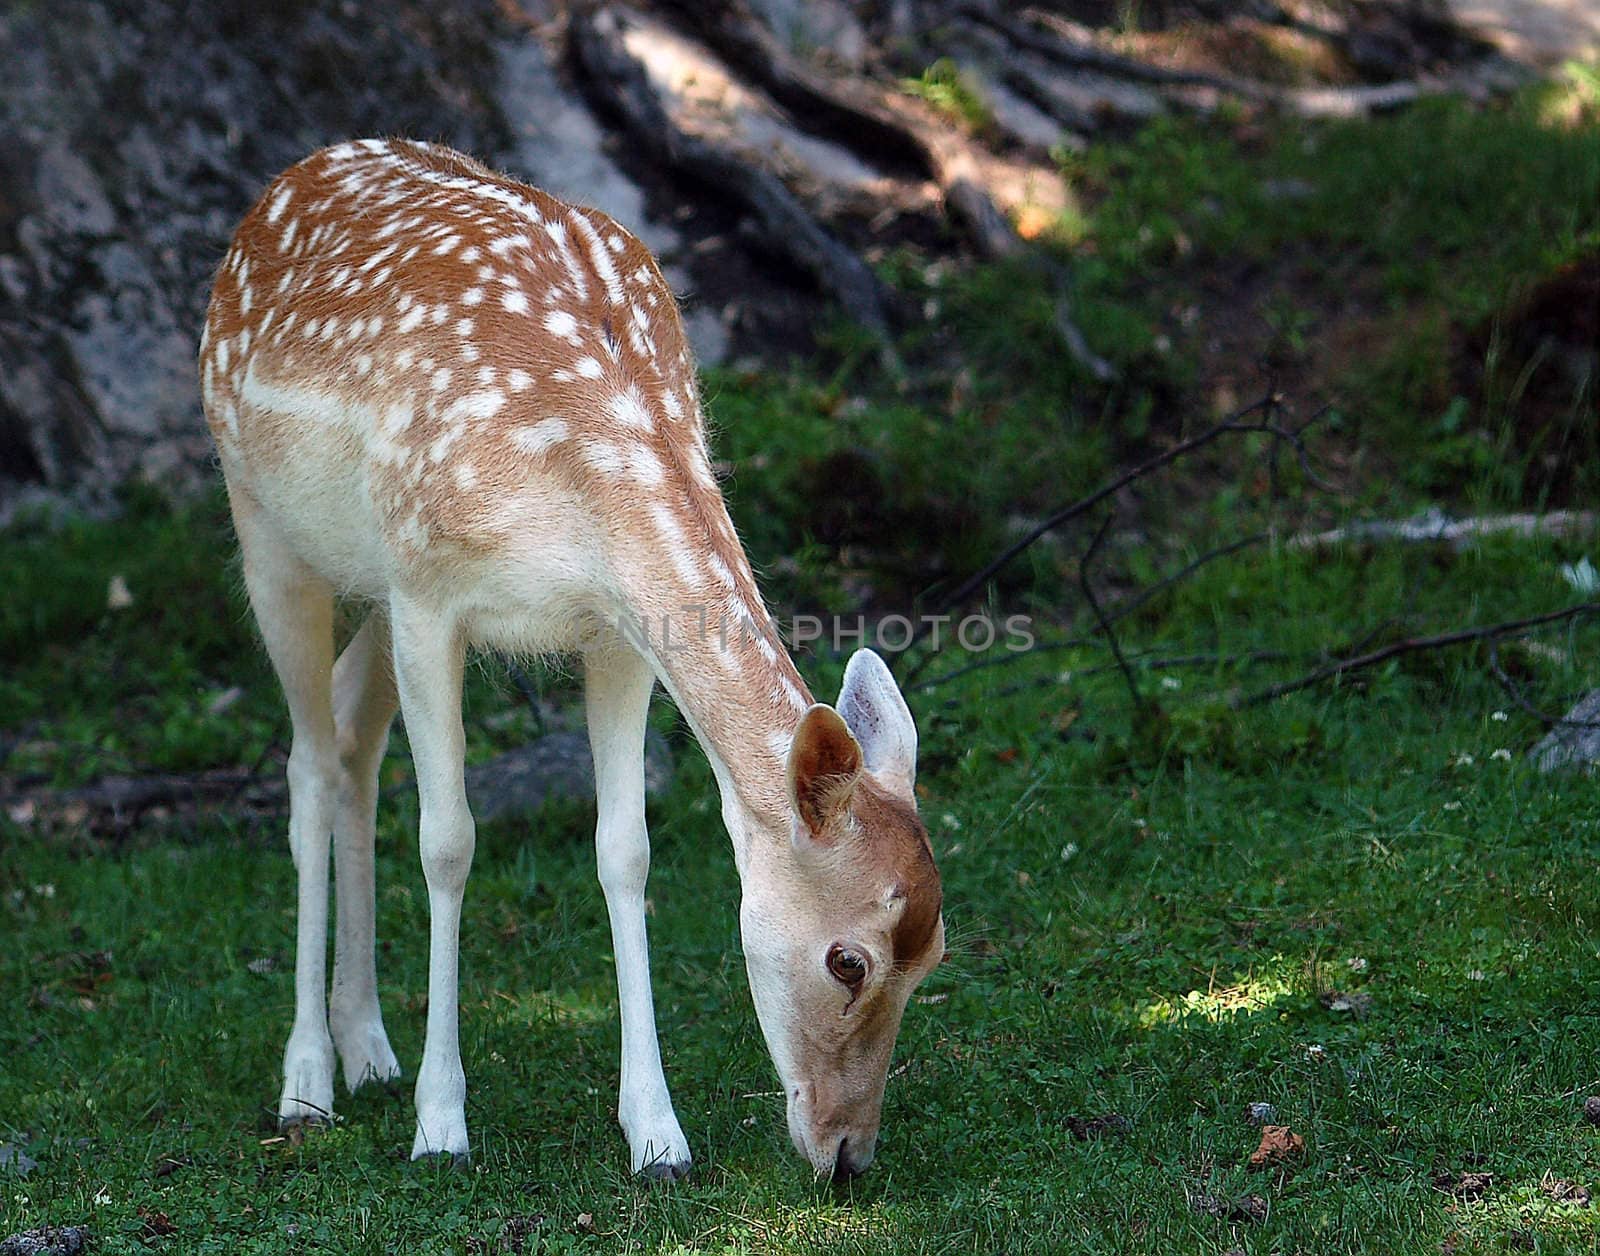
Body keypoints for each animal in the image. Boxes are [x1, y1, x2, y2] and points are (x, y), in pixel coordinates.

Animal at [200, 142, 947, 1184]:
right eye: (849, 959)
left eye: (935, 957)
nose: (847, 1156)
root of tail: (273, 194)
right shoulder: (430, 595)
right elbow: (448, 842)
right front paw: (443, 1126)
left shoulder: (616, 633)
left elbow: (626, 851)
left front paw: (659, 1136)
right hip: (269, 530)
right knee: (308, 760)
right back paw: (308, 1080)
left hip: (373, 586)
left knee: (352, 738)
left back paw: (368, 1046)